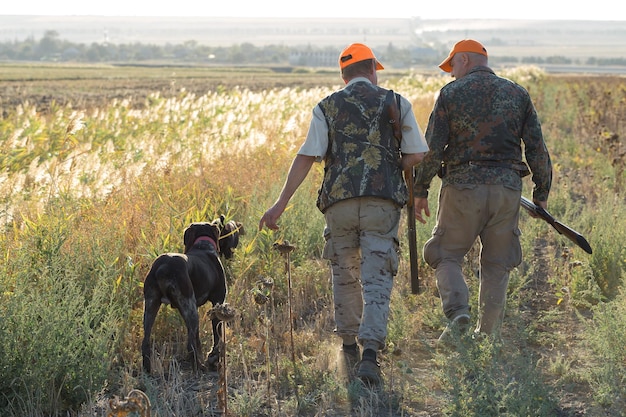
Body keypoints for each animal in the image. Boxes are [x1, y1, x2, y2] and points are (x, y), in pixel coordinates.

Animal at [141, 216, 241, 372]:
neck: (203, 245)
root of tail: (163, 267)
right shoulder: (217, 303)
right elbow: (216, 335)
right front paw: (214, 357)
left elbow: (197, 338)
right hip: (190, 309)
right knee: (189, 345)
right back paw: (199, 367)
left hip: (151, 307)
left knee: (145, 343)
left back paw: (148, 369)